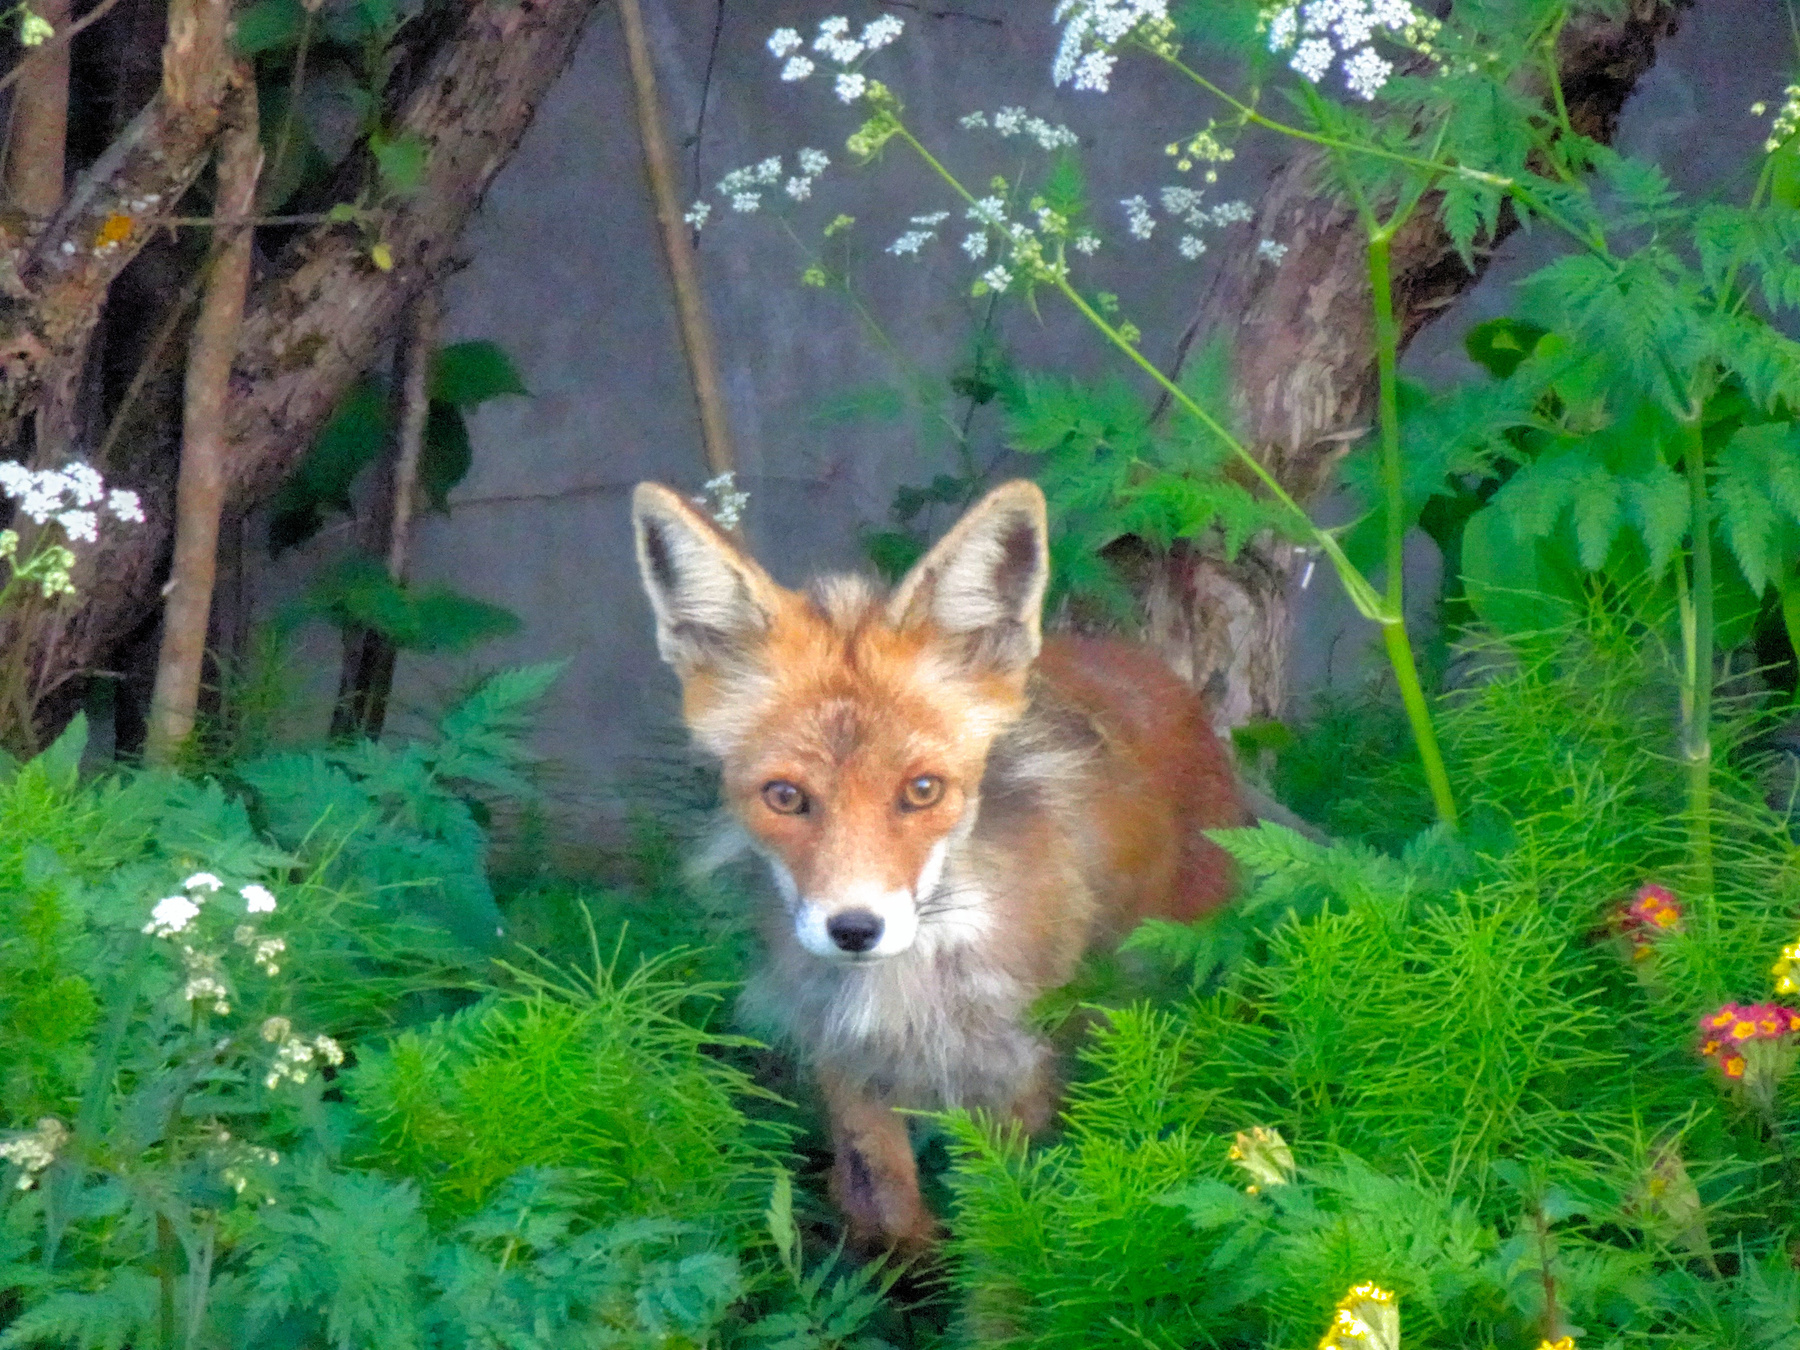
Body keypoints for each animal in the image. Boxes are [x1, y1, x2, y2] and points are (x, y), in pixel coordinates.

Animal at [630, 477, 1247, 1253]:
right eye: (785, 796)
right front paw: (900, 1266)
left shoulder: (1017, 1066)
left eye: (923, 790)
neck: (909, 988)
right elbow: (889, 1199)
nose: (854, 929)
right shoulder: (842, 1052)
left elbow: (1002, 1216)